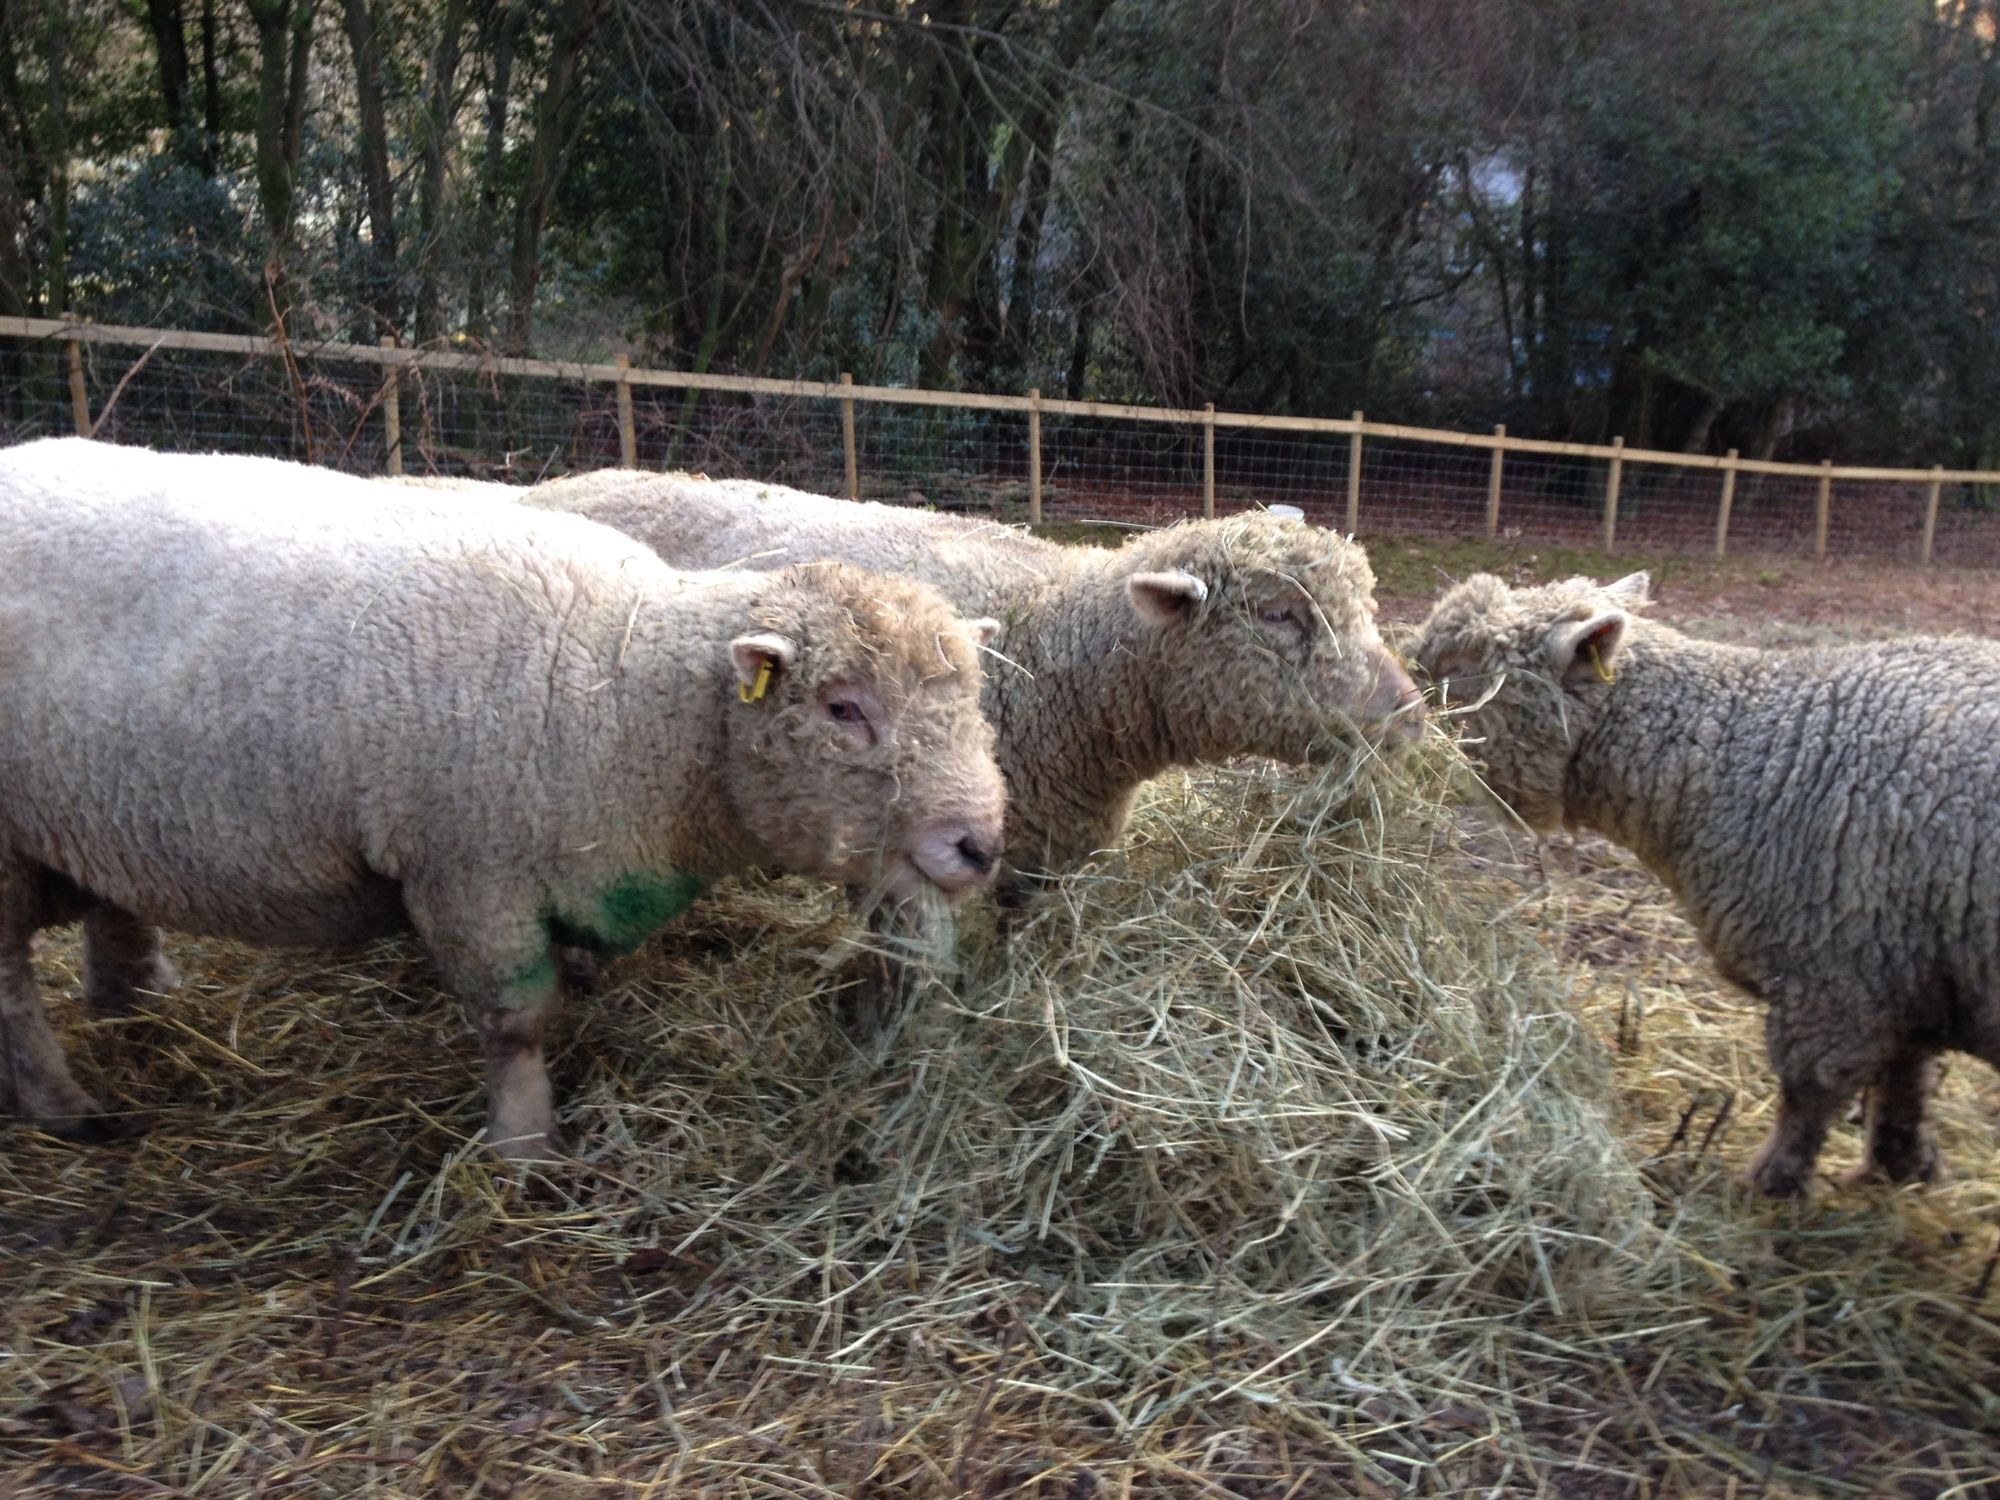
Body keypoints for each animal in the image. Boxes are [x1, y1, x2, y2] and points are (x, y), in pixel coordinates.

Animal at [0, 434, 1008, 1160]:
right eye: (843, 708)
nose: (980, 846)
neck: (625, 686)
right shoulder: (468, 871)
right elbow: (518, 1022)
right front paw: (524, 1146)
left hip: (105, 803)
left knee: (112, 901)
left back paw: (137, 1000)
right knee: (11, 990)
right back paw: (68, 1108)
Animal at [1408, 572, 2000, 1200]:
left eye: (1461, 666)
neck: (1748, 753)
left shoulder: (1833, 980)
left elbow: (1810, 1095)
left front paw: (1770, 1184)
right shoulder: (1906, 979)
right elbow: (1904, 1084)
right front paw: (1901, 1170)